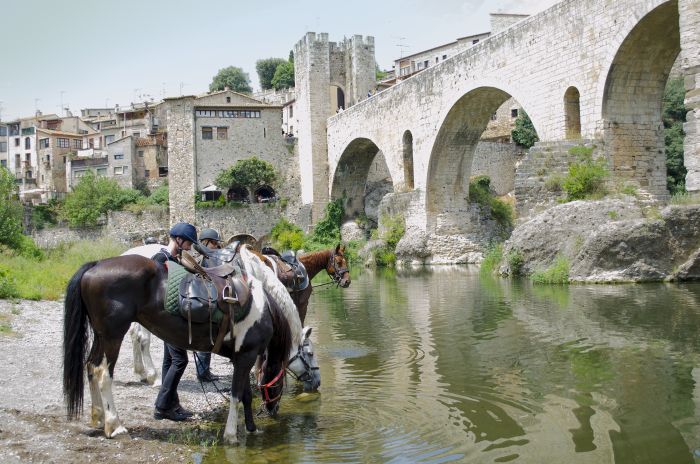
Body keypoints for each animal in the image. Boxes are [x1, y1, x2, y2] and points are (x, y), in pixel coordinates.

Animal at [63, 252, 320, 444]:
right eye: (309, 354)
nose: (317, 382)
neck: (264, 308)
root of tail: (96, 265)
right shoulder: (246, 356)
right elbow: (237, 394)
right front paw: (231, 435)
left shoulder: (241, 357)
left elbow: (246, 395)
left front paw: (251, 428)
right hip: (113, 336)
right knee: (103, 373)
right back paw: (114, 425)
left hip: (100, 336)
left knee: (90, 366)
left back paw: (98, 417)